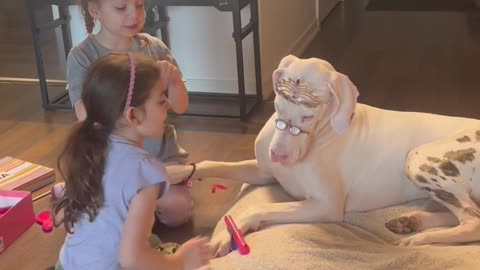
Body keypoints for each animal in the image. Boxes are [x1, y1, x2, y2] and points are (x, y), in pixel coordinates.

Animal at [169, 54, 480, 255]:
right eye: (279, 106)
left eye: (307, 116)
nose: (277, 154)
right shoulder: (263, 171)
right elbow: (212, 162)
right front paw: (174, 171)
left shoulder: (325, 206)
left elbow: (260, 208)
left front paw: (228, 232)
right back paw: (410, 221)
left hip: (419, 159)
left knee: (472, 221)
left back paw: (420, 238)